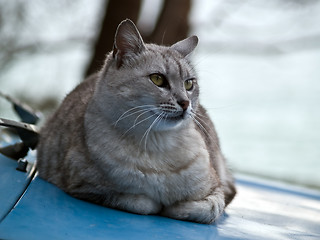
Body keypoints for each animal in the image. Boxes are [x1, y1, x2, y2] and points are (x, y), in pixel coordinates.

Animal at [38, 19, 238, 224]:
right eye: (157, 79)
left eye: (189, 84)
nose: (185, 103)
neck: (157, 145)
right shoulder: (86, 187)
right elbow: (143, 203)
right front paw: (161, 205)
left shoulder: (217, 190)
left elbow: (206, 209)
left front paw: (175, 207)